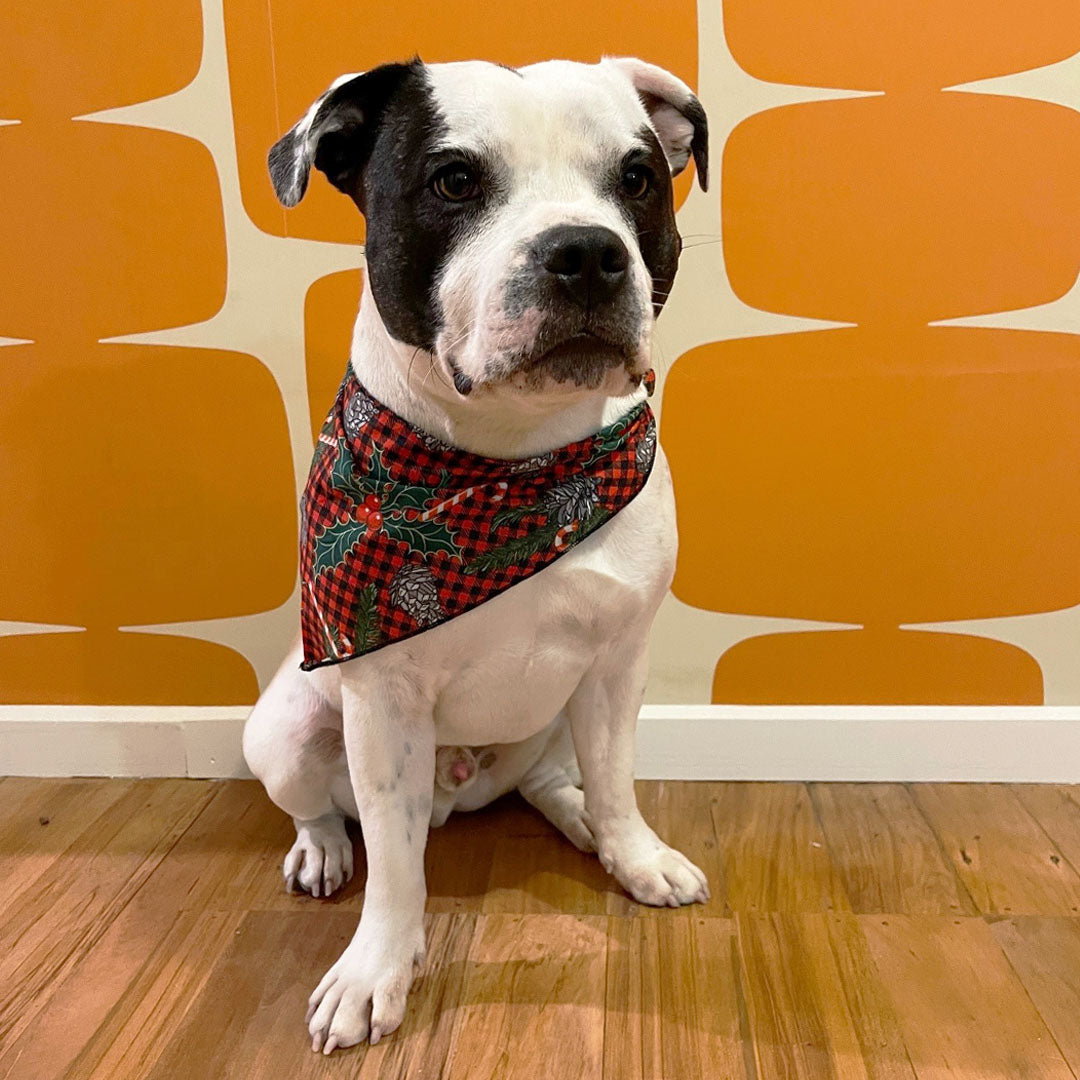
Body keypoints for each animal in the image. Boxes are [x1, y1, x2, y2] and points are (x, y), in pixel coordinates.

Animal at [248, 56, 712, 1054]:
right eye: (454, 181)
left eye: (636, 179)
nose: (586, 250)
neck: (514, 467)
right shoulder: (381, 701)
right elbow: (395, 864)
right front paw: (376, 970)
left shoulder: (616, 665)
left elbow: (619, 779)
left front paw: (634, 851)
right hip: (288, 727)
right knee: (323, 805)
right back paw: (321, 848)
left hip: (559, 714)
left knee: (554, 779)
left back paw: (583, 822)